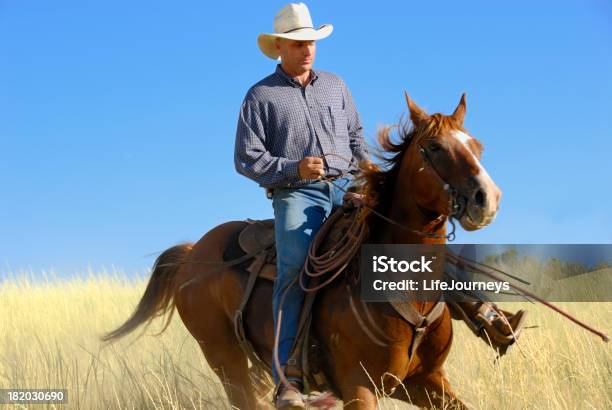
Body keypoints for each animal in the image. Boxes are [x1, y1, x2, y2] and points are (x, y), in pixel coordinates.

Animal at [100, 93, 502, 410]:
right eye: (434, 147)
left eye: (478, 146)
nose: (487, 198)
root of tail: (192, 254)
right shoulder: (360, 387)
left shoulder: (426, 382)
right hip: (225, 360)